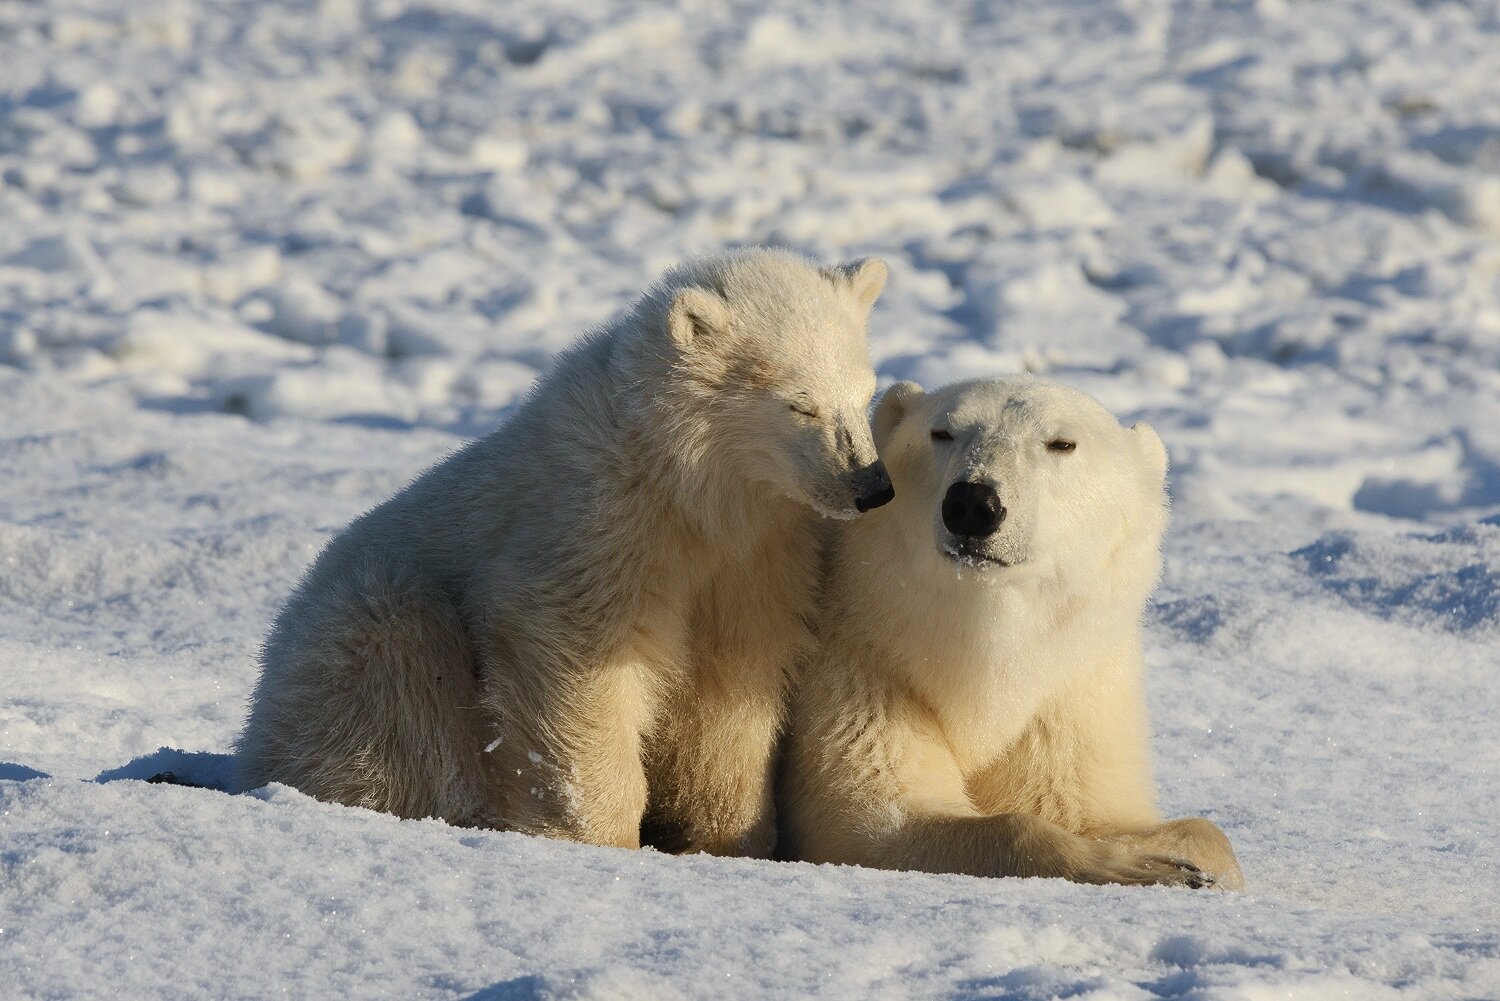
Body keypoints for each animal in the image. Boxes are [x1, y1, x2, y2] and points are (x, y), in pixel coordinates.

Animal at [234, 246, 888, 858]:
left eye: (865, 396)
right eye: (800, 403)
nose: (872, 487)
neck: (684, 486)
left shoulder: (758, 553)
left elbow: (732, 681)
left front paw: (724, 839)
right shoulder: (598, 518)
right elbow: (576, 647)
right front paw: (598, 838)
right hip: (345, 654)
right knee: (404, 656)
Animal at [780, 378, 1248, 894]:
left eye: (1061, 443)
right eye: (941, 432)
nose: (972, 504)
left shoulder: (1064, 702)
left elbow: (1114, 814)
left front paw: (1186, 863)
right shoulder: (864, 671)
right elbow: (871, 816)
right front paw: (1142, 868)